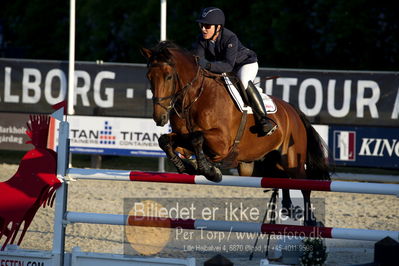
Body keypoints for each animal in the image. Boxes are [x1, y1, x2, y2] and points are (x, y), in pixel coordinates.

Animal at [141, 40, 332, 225]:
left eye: (168, 76)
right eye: (149, 77)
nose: (159, 117)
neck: (194, 98)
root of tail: (294, 111)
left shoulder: (222, 142)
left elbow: (197, 138)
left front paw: (209, 170)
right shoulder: (184, 140)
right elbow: (167, 141)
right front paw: (186, 166)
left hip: (292, 159)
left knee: (304, 187)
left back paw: (310, 221)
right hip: (268, 162)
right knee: (283, 181)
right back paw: (288, 209)